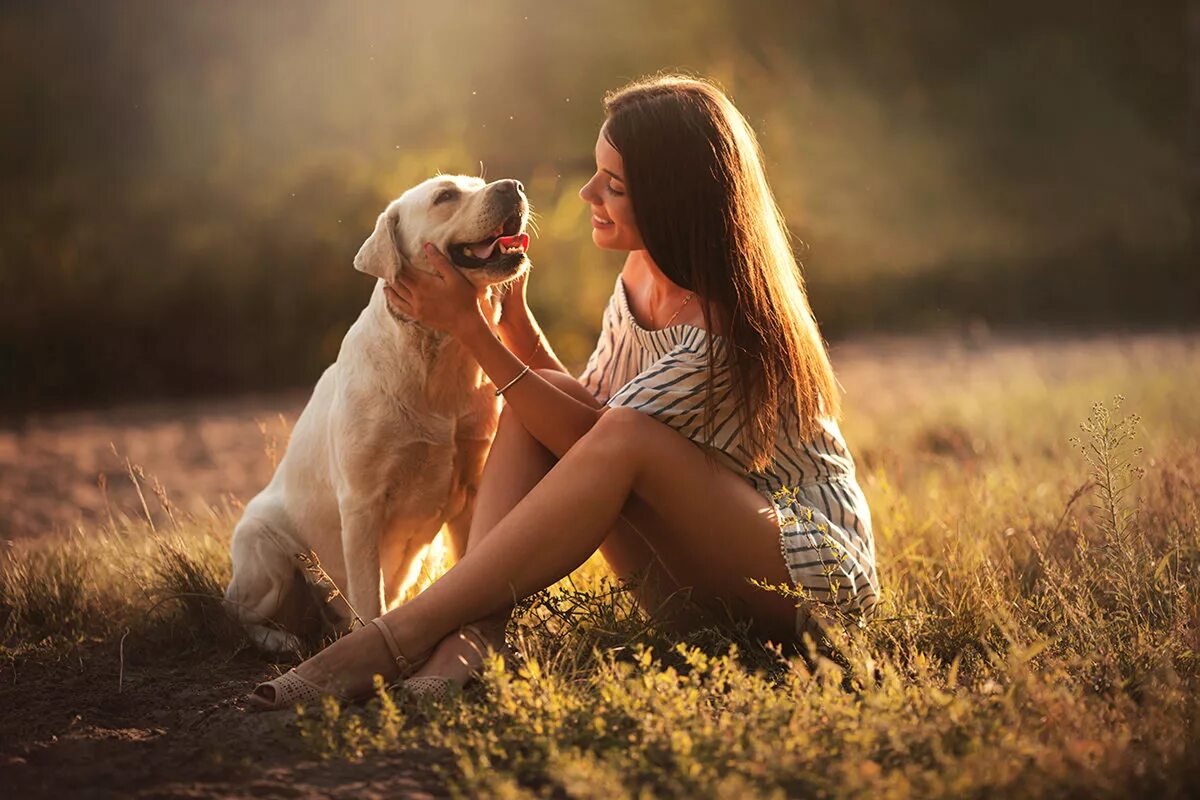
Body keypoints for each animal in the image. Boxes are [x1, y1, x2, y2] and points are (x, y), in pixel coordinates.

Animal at [225, 173, 530, 652]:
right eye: (446, 196)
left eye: (478, 183)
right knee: (237, 612)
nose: (512, 185)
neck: (439, 352)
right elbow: (371, 598)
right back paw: (281, 641)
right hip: (265, 550)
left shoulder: (471, 491)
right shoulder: (362, 504)